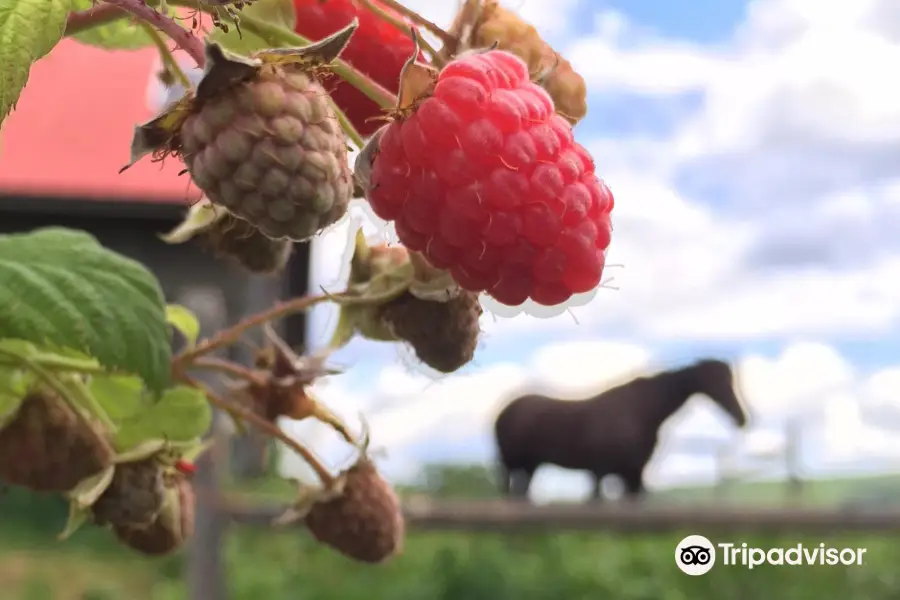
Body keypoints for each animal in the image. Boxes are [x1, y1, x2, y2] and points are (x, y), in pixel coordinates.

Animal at [496, 358, 748, 500]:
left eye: (731, 381)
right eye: (718, 381)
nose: (741, 418)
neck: (640, 411)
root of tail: (504, 412)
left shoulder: (632, 475)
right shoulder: (603, 472)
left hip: (529, 467)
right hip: (510, 467)